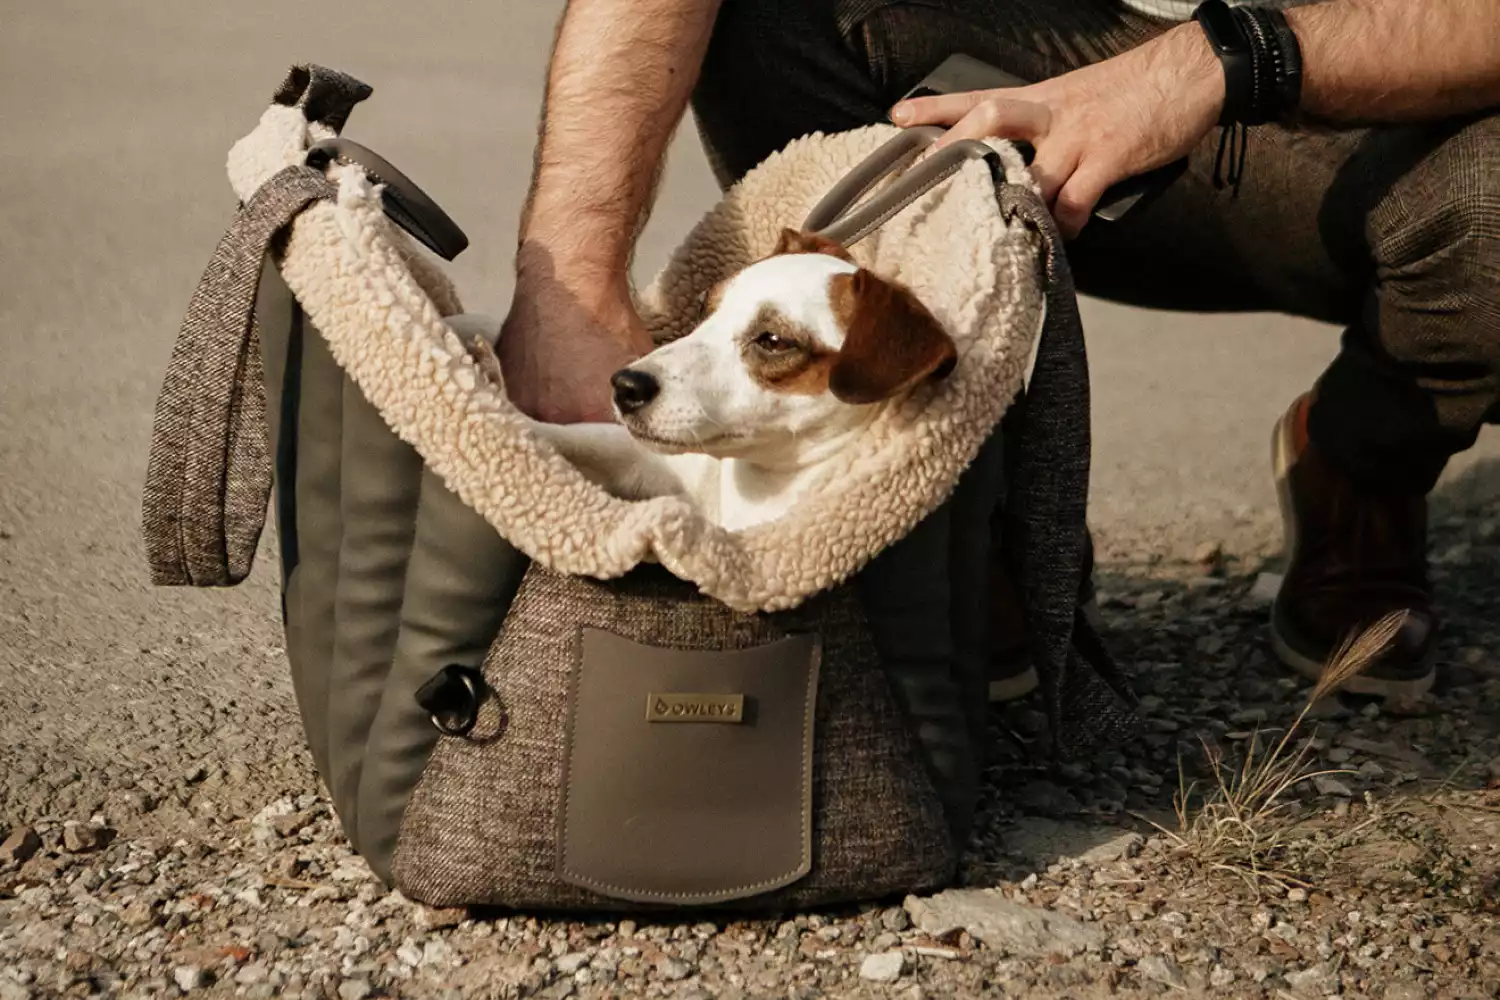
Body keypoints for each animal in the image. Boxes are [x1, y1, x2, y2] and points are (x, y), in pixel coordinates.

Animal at [468, 229, 954, 536]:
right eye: (706, 308)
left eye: (773, 340)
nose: (626, 385)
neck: (757, 487)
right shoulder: (651, 465)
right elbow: (571, 438)